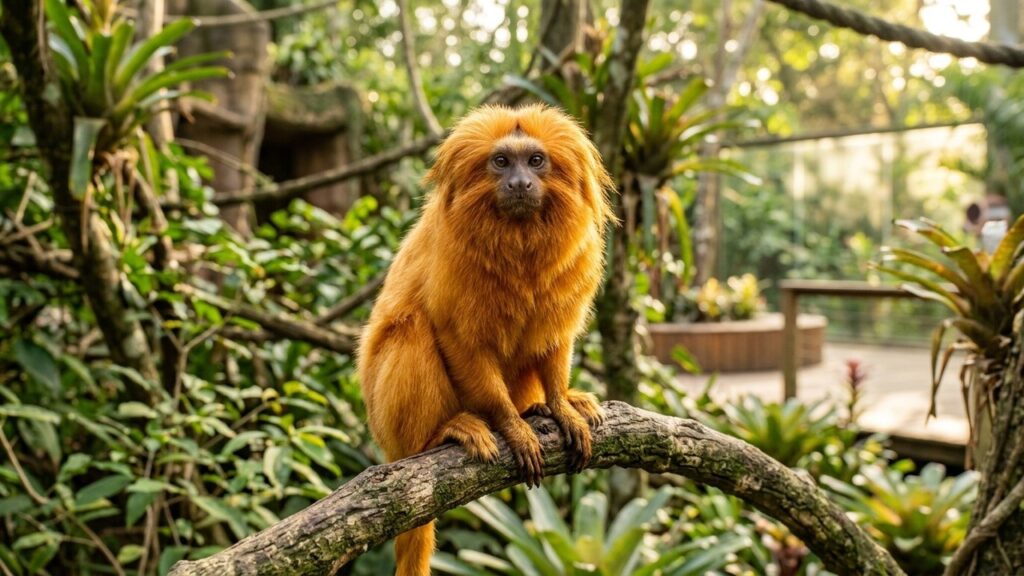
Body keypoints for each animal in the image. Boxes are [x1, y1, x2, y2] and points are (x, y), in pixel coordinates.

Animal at [357, 104, 614, 576]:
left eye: (535, 161)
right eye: (501, 162)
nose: (519, 183)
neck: (519, 239)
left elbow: (554, 340)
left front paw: (561, 405)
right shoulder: (453, 260)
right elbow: (459, 339)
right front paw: (511, 425)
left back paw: (546, 405)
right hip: (388, 422)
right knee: (412, 330)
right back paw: (444, 432)